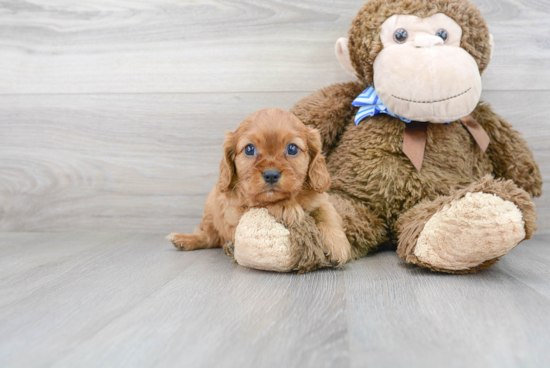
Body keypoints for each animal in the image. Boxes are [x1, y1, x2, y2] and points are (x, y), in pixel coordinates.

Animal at [166, 108, 352, 266]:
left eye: (292, 148)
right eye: (249, 149)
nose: (271, 175)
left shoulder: (321, 199)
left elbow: (327, 214)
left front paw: (337, 245)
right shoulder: (236, 210)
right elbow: (260, 202)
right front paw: (285, 206)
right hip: (211, 212)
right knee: (209, 236)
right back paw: (187, 240)